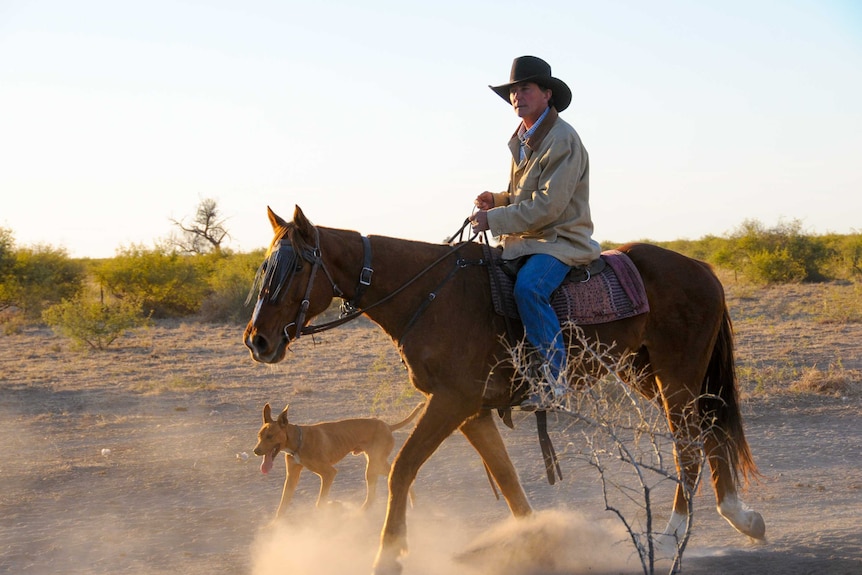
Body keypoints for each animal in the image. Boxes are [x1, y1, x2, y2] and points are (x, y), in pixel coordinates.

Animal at [253, 400, 426, 516]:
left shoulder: (329, 473)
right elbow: (282, 505)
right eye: (259, 436)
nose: (256, 451)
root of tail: (388, 426)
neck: (298, 442)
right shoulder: (292, 477)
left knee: (374, 495)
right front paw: (273, 527)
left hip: (373, 466)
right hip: (377, 464)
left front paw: (334, 505)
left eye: (270, 436)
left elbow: (320, 503)